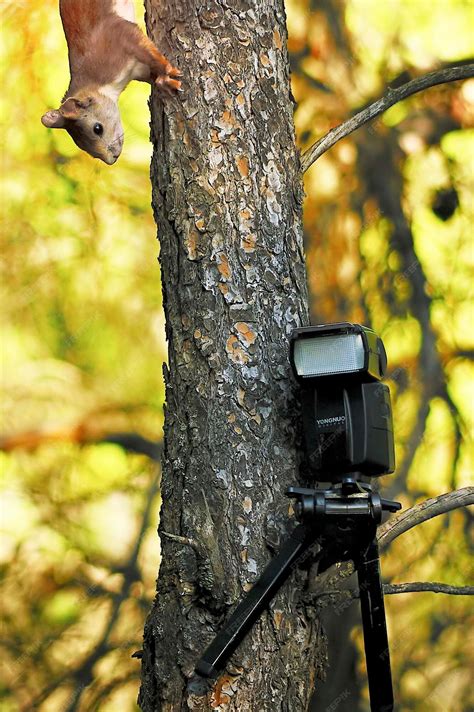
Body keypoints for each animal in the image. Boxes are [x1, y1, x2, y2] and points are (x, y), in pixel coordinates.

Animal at [41, 0, 182, 164]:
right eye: (80, 145)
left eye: (97, 129)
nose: (111, 159)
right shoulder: (138, 69)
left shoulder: (118, 37)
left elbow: (149, 54)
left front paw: (165, 78)